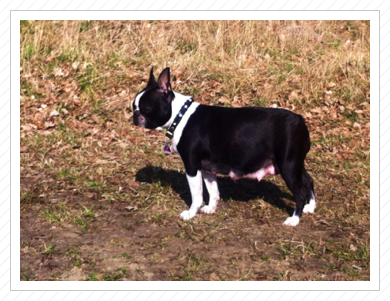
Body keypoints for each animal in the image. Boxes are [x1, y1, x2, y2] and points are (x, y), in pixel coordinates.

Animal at [133, 66, 316, 225]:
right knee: (308, 181)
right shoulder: (207, 168)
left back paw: (294, 219)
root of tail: (300, 120)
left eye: (146, 108)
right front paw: (210, 208)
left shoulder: (192, 167)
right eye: (133, 106)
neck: (180, 115)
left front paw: (191, 213)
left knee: (300, 192)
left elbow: (197, 195)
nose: (134, 115)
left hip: (288, 165)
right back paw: (310, 207)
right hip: (294, 163)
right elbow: (213, 191)